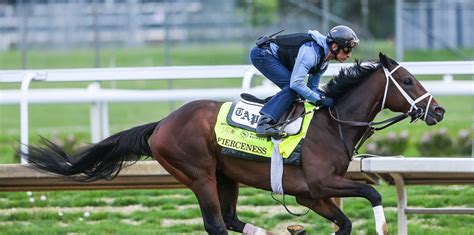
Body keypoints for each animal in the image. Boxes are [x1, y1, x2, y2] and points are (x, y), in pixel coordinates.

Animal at [22, 53, 444, 235]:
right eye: (408, 81)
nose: (438, 111)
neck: (332, 124)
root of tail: (162, 123)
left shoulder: (309, 194)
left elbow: (344, 223)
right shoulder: (321, 184)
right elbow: (372, 194)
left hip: (227, 178)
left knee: (230, 220)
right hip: (199, 175)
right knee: (216, 225)